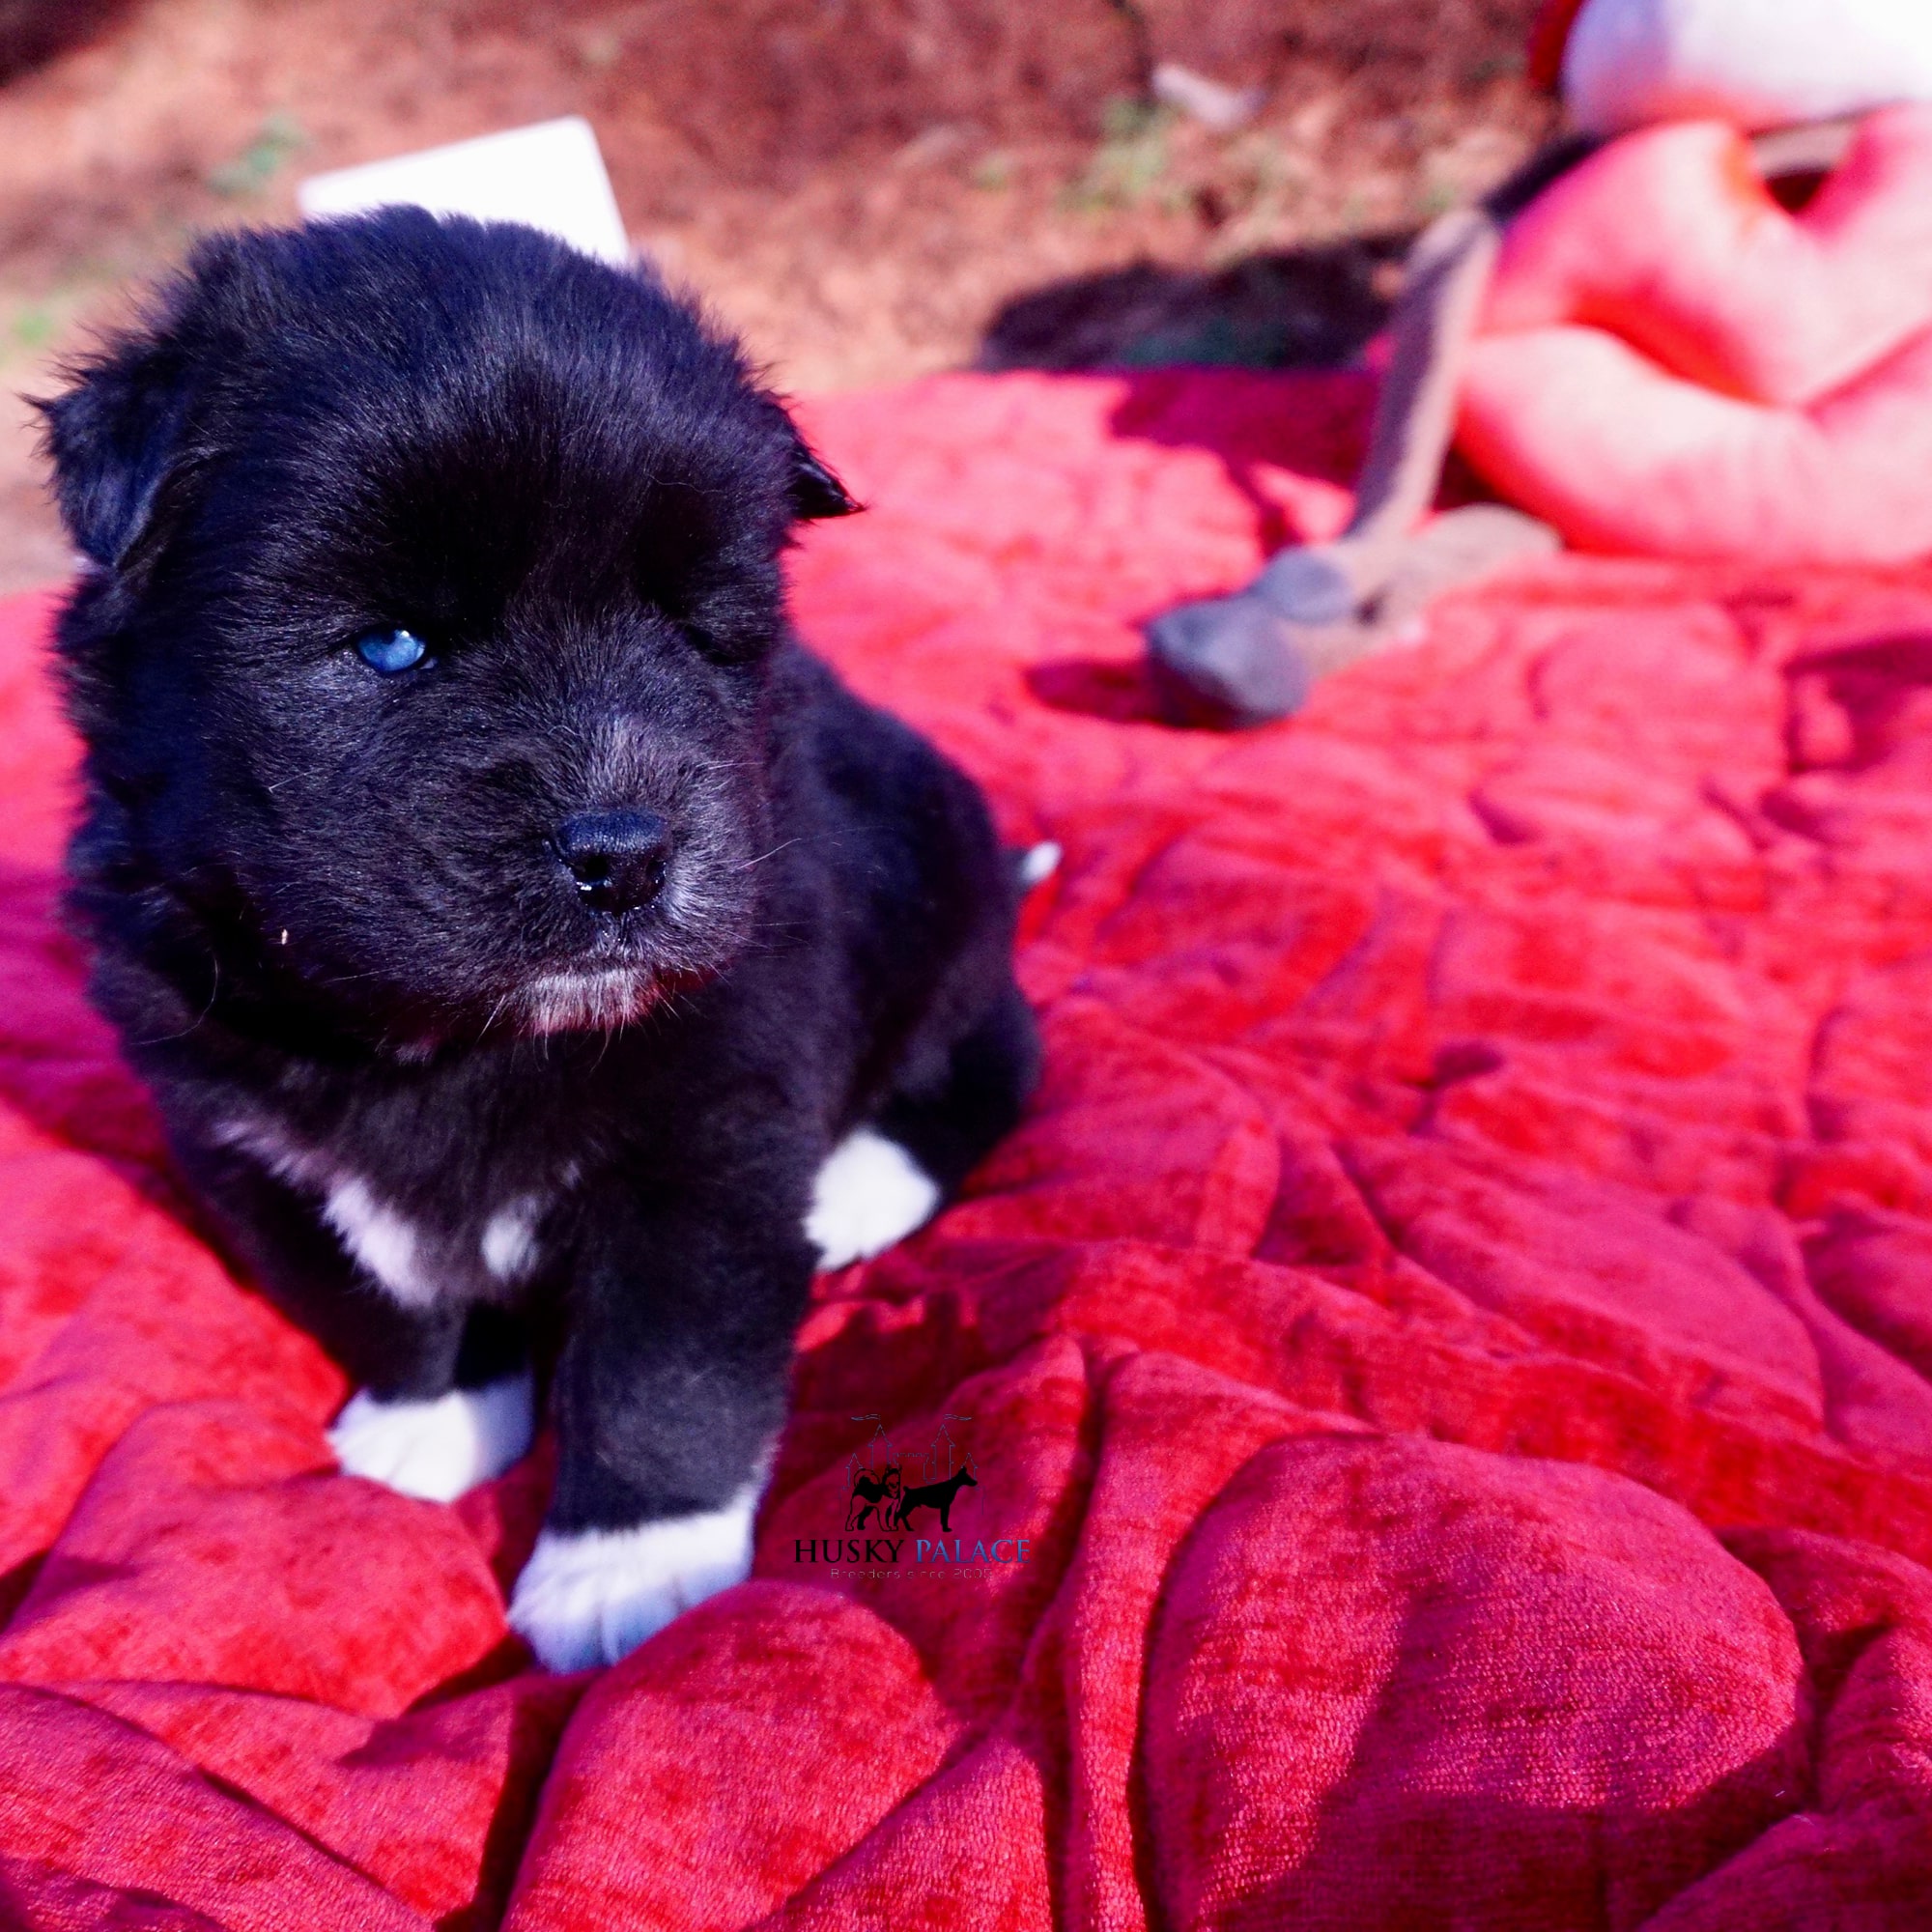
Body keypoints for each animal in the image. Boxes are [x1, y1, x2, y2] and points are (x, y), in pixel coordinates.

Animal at [42, 208, 1043, 1662]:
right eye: (391, 645)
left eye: (691, 628)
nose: (624, 854)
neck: (444, 1042)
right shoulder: (236, 1138)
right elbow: (370, 1290)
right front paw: (437, 1415)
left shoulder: (711, 1136)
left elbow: (664, 1363)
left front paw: (626, 1567)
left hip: (948, 917)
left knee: (995, 1059)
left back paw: (860, 1183)